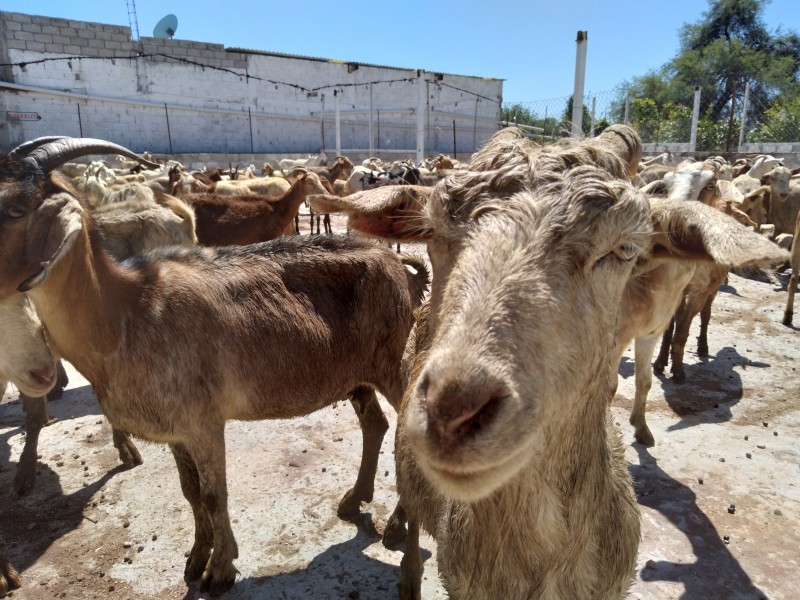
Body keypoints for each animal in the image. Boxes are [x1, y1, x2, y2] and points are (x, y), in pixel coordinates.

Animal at [0, 137, 432, 596]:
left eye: (15, 209)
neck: (124, 311)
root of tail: (402, 270)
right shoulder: (175, 428)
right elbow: (190, 492)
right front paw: (195, 558)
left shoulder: (203, 422)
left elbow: (213, 495)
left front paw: (220, 569)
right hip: (355, 375)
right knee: (375, 424)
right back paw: (355, 500)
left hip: (393, 364)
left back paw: (396, 525)